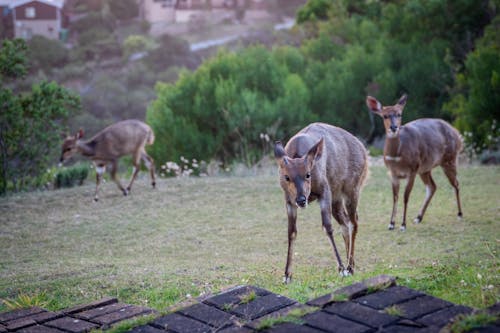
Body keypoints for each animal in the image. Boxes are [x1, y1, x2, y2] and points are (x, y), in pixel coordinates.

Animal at [274, 121, 368, 280]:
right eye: (287, 177)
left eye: (308, 174)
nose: (301, 200)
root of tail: (363, 149)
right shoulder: (289, 201)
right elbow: (291, 231)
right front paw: (287, 275)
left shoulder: (325, 192)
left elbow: (327, 227)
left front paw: (341, 269)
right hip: (337, 200)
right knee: (345, 222)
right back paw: (350, 265)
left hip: (352, 190)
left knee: (353, 222)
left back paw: (349, 266)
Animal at [366, 92, 462, 230]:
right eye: (385, 115)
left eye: (399, 114)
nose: (394, 127)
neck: (397, 156)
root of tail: (458, 135)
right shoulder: (393, 173)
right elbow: (395, 197)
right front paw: (391, 224)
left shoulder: (412, 170)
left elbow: (406, 196)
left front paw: (403, 225)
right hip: (425, 169)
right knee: (433, 186)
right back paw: (418, 218)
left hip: (449, 160)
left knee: (456, 183)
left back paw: (459, 214)